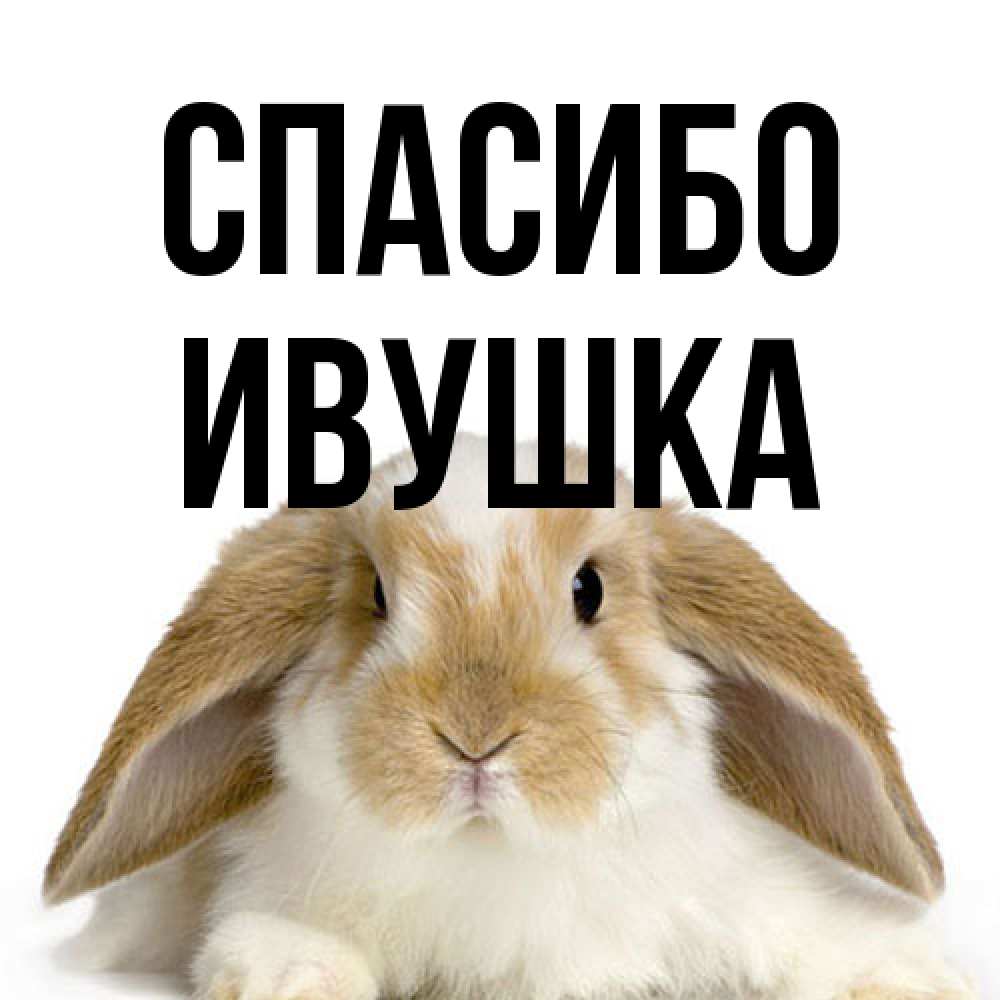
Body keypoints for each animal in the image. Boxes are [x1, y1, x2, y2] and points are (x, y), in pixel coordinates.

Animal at [45, 435, 975, 1000]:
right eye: (375, 596)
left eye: (589, 589)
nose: (475, 737)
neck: (495, 857)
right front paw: (291, 976)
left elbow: (816, 938)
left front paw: (910, 978)